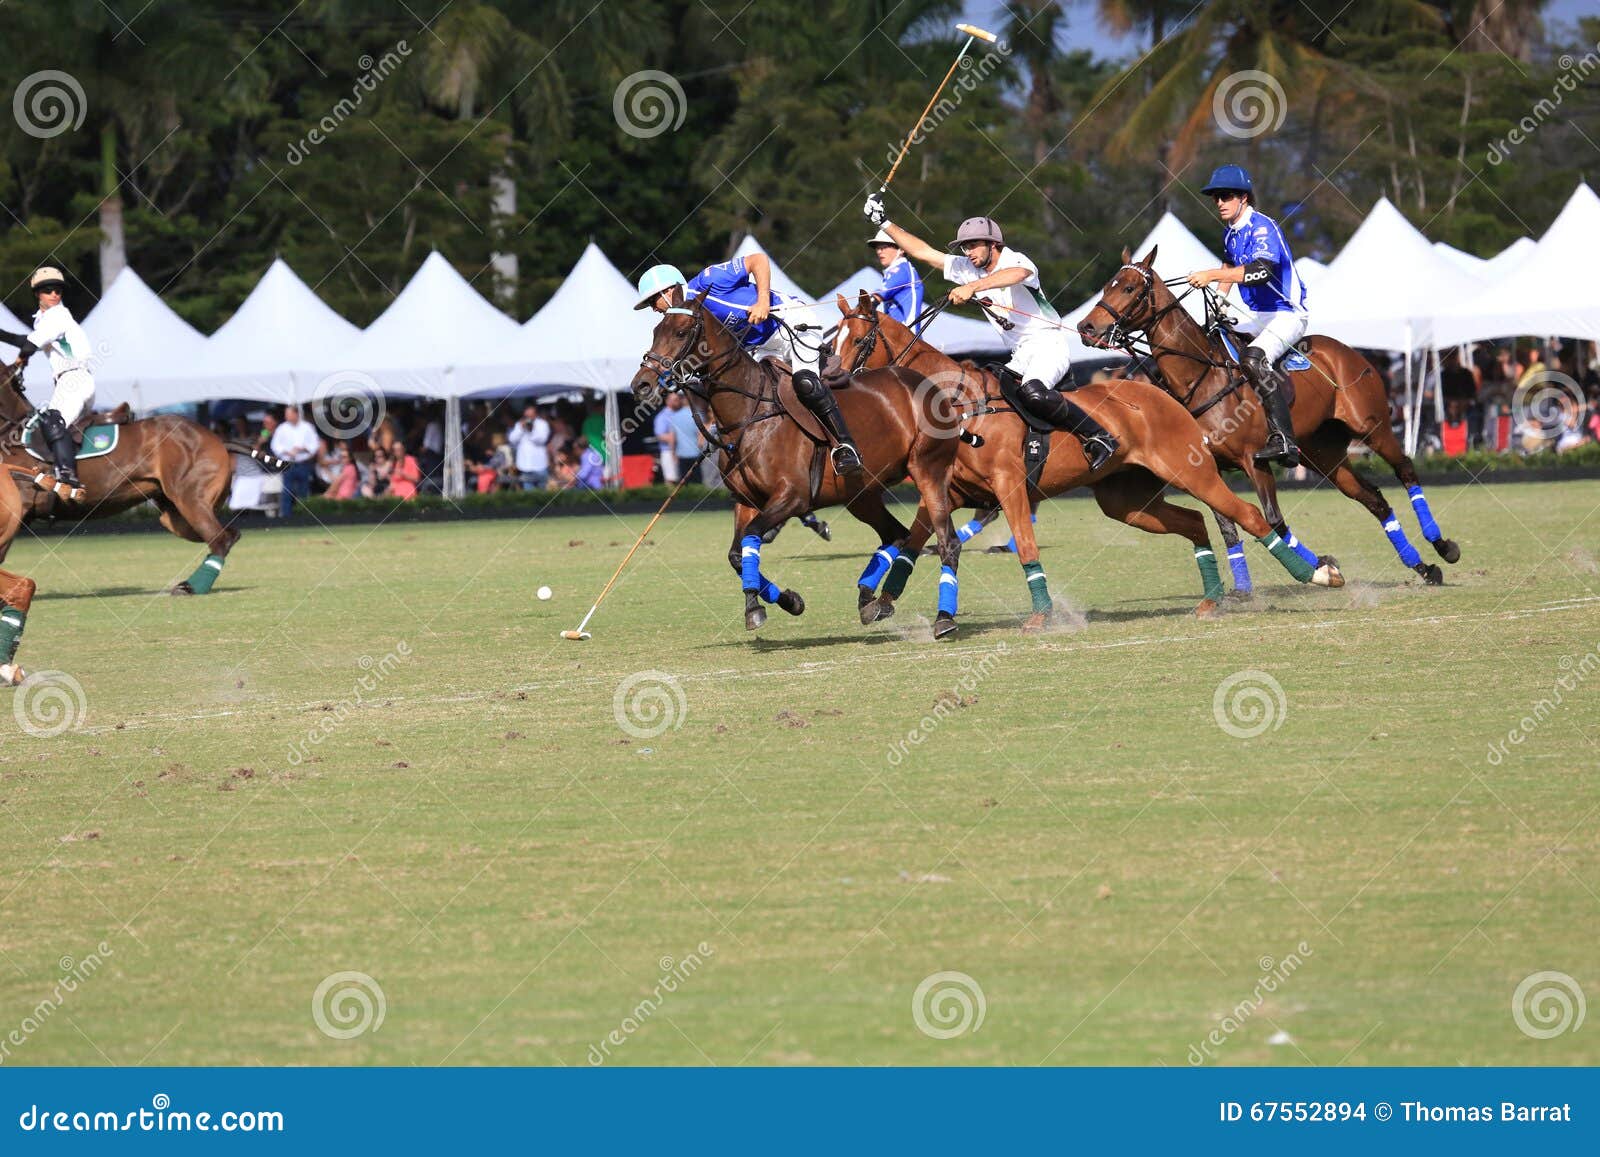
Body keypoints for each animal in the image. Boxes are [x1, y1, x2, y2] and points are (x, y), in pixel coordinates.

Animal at [1, 360, 288, 598]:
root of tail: (218, 438)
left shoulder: (18, 508)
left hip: (191, 501)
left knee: (220, 540)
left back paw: (191, 587)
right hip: (175, 517)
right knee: (228, 534)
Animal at [630, 288, 960, 633]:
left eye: (681, 332)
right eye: (656, 331)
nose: (641, 384)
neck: (749, 415)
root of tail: (926, 383)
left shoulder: (792, 496)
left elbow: (751, 536)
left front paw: (765, 605)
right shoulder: (746, 501)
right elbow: (737, 553)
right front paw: (778, 603)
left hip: (929, 470)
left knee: (947, 541)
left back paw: (943, 619)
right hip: (861, 494)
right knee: (896, 533)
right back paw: (871, 602)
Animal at [832, 294, 1331, 630]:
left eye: (858, 339)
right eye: (829, 341)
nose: (831, 379)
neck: (958, 403)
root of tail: (1164, 394)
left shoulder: (1009, 485)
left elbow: (1025, 546)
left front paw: (1041, 615)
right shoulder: (946, 492)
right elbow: (912, 543)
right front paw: (880, 604)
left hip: (1192, 471)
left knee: (1248, 514)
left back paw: (1319, 573)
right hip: (1124, 499)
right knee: (1194, 522)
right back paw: (1211, 600)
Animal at [1075, 248, 1465, 582]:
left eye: (1129, 287)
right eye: (1106, 286)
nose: (1086, 328)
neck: (1200, 378)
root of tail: (1349, 351)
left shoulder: (1255, 459)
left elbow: (1274, 520)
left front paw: (1322, 567)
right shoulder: (1207, 467)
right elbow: (1229, 525)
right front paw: (1245, 590)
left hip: (1373, 426)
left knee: (1405, 469)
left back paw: (1443, 547)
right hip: (1323, 452)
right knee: (1373, 498)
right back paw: (1422, 567)